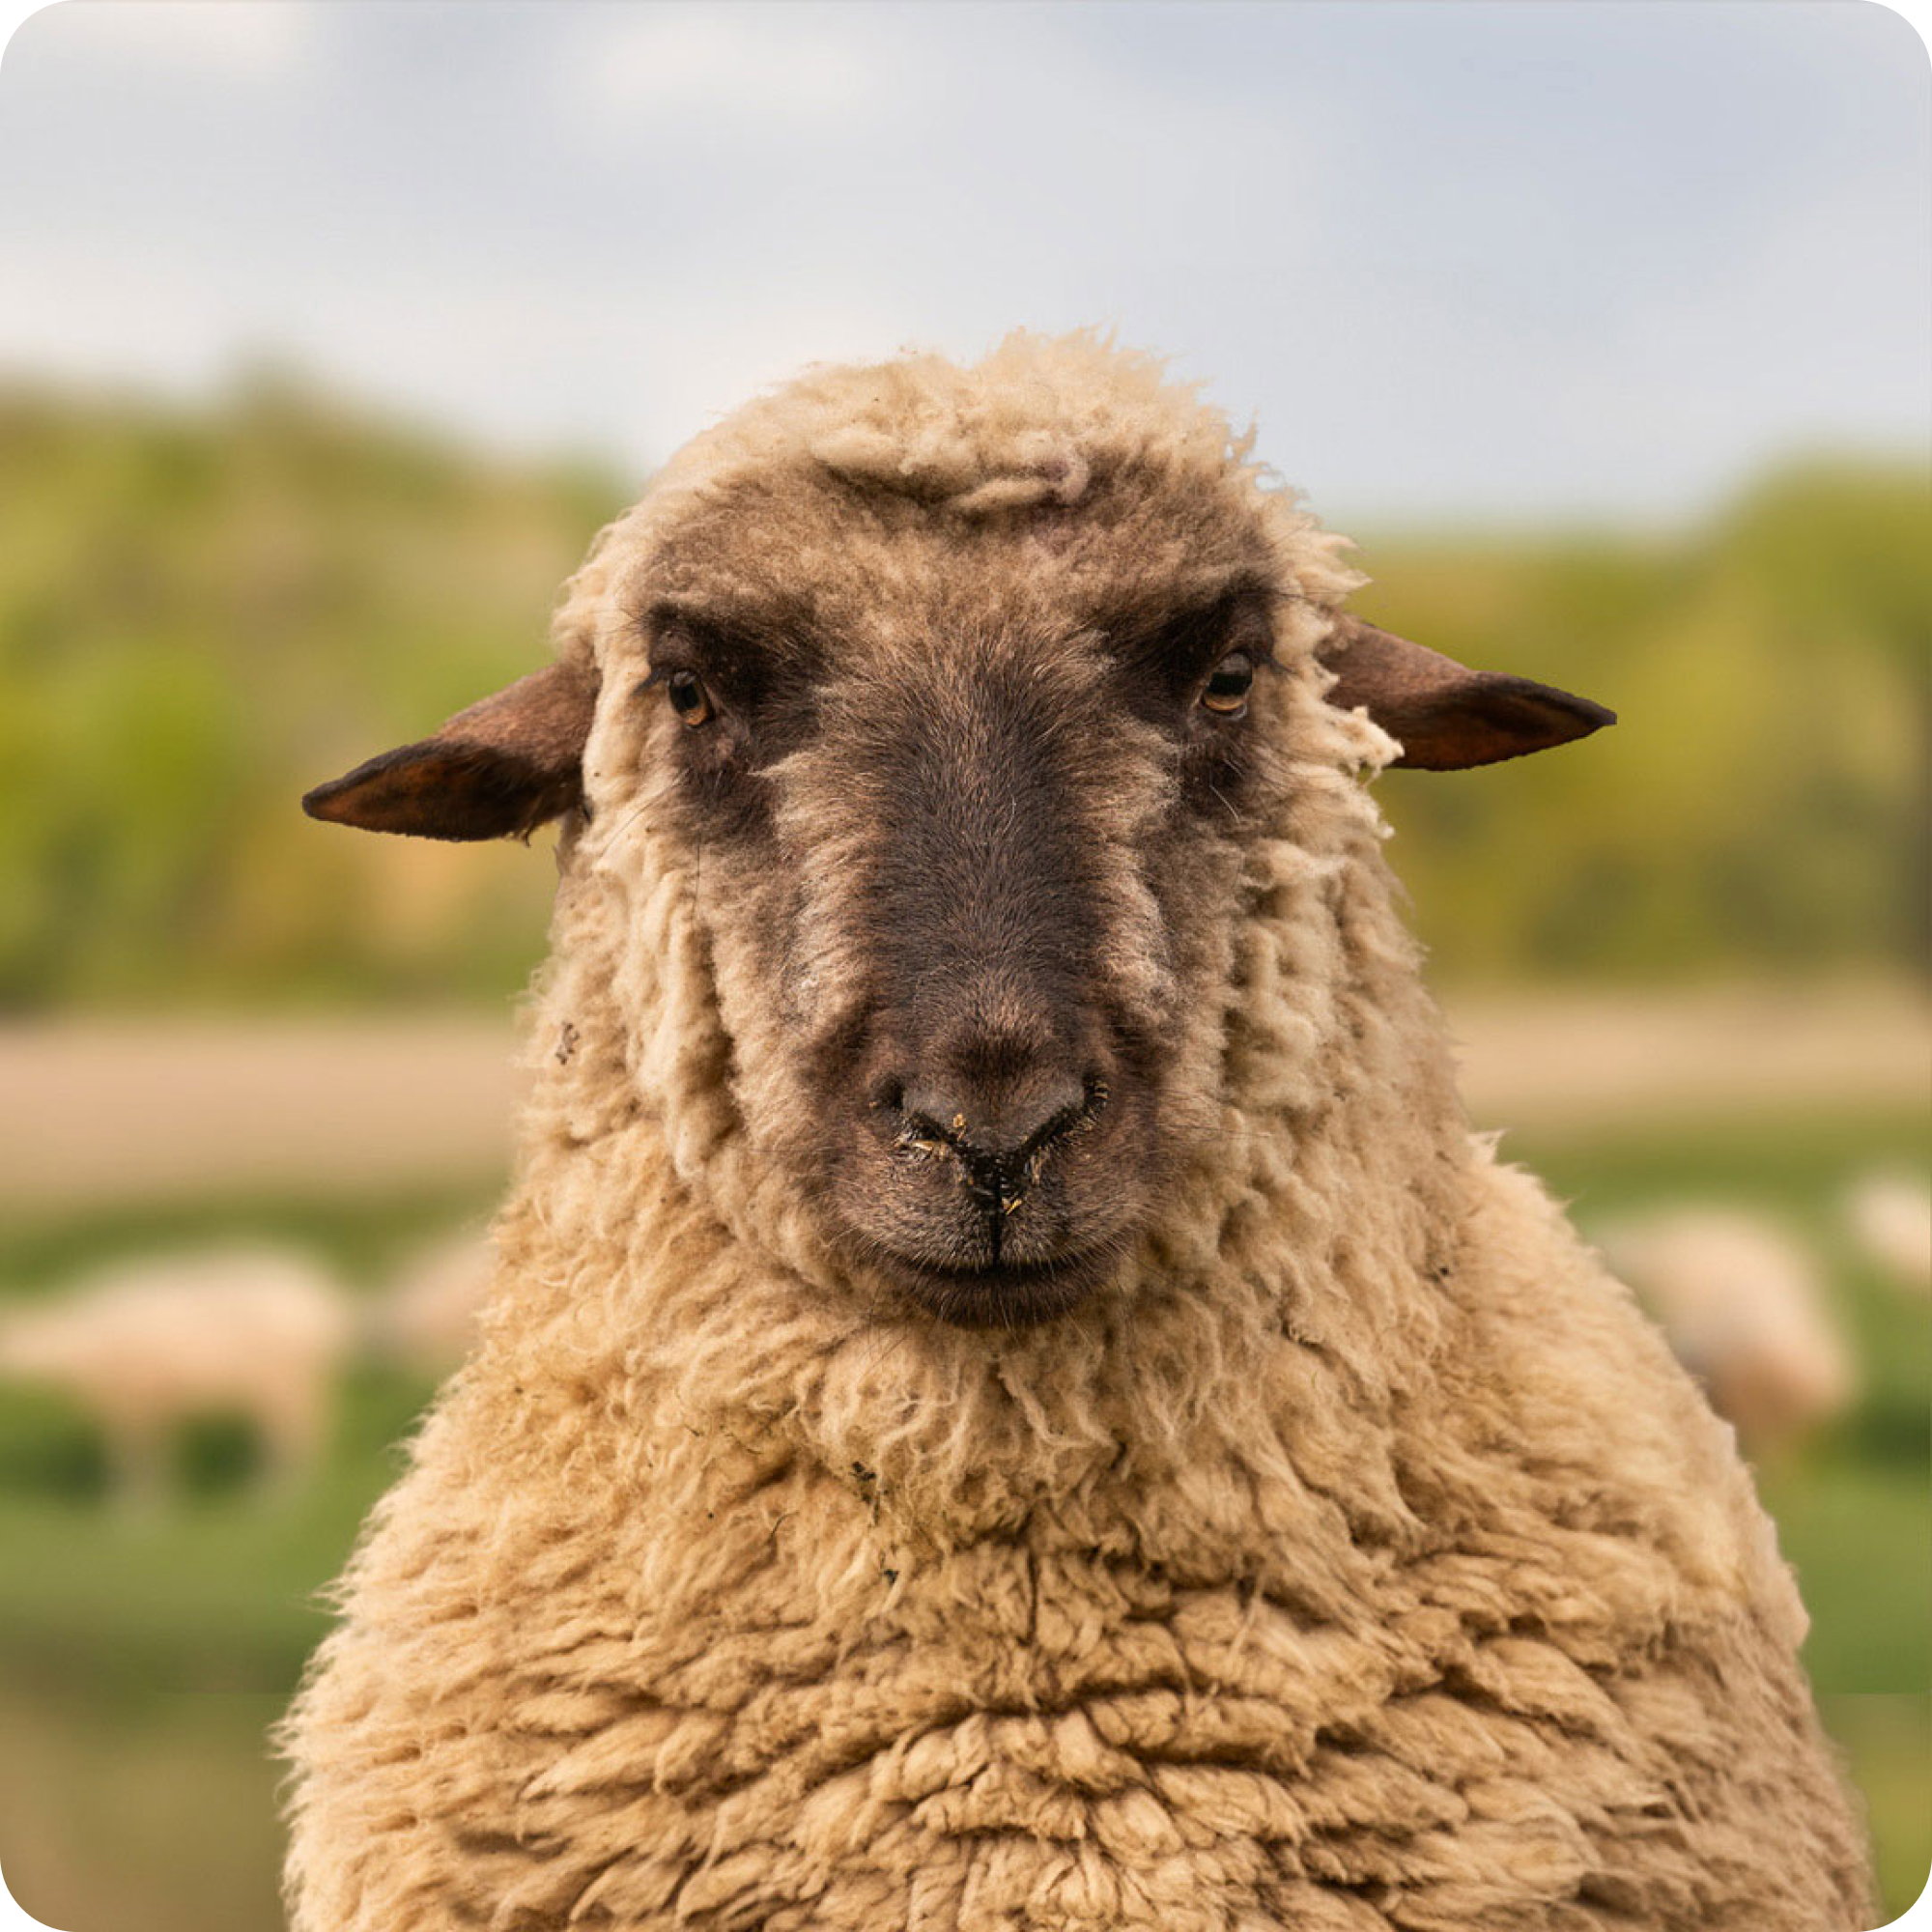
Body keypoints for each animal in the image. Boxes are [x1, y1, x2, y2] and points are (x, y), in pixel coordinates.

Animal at [0, 1244, 355, 1499]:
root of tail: (326, 1303)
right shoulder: (143, 1400)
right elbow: (146, 1454)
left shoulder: (132, 1398)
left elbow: (134, 1457)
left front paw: (136, 1511)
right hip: (300, 1378)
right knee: (310, 1426)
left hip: (284, 1377)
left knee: (294, 1431)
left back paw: (274, 1493)